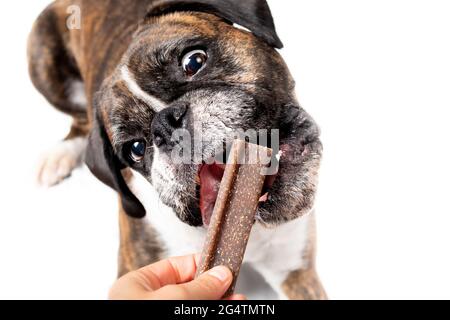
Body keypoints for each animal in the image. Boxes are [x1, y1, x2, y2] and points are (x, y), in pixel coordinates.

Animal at [29, 0, 326, 300]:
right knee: (79, 118)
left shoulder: (296, 272)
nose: (165, 123)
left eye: (194, 61)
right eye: (136, 148)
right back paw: (59, 155)